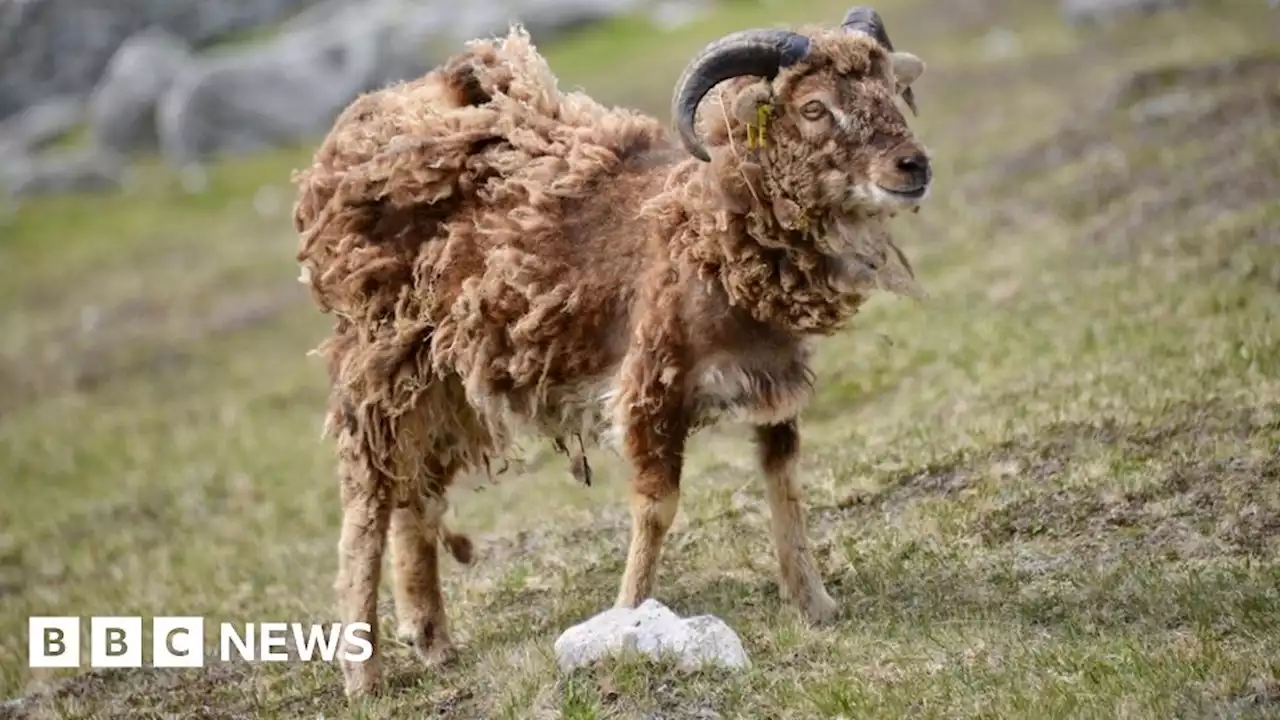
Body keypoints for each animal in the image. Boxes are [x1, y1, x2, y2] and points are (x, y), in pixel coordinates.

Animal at [290, 7, 931, 696]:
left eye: (892, 89)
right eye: (814, 107)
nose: (913, 166)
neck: (707, 230)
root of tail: (360, 126)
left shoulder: (773, 385)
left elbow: (783, 483)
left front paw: (816, 605)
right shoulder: (652, 385)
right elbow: (657, 507)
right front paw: (629, 618)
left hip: (441, 383)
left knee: (416, 498)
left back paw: (433, 642)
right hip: (378, 366)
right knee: (366, 509)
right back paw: (364, 674)